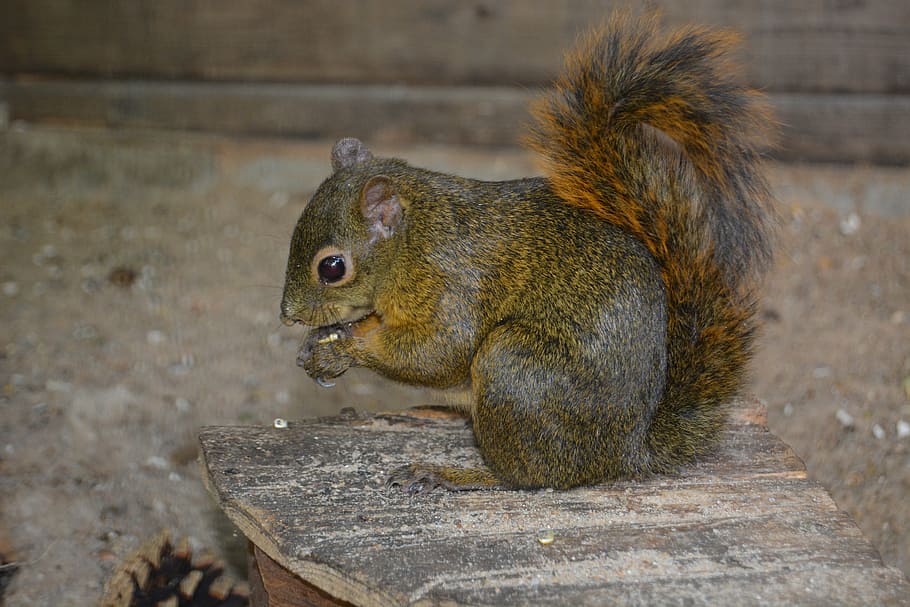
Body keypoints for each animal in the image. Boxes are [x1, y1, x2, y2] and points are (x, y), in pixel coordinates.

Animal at [279, 12, 776, 491]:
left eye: (332, 267)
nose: (288, 315)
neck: (413, 240)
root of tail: (625, 452)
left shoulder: (449, 283)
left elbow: (438, 352)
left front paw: (347, 346)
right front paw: (319, 345)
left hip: (513, 369)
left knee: (526, 477)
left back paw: (456, 475)